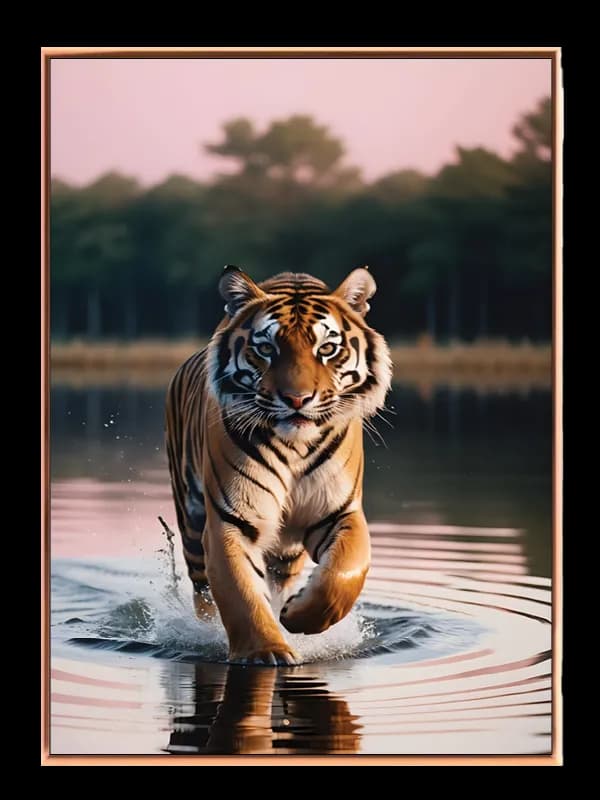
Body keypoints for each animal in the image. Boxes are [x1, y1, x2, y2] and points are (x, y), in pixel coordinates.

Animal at [165, 266, 392, 666]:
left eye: (327, 349)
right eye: (266, 349)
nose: (297, 399)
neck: (294, 447)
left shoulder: (340, 512)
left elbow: (345, 572)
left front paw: (298, 616)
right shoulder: (233, 519)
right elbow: (239, 592)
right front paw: (265, 652)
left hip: (287, 551)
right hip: (191, 524)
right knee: (203, 592)